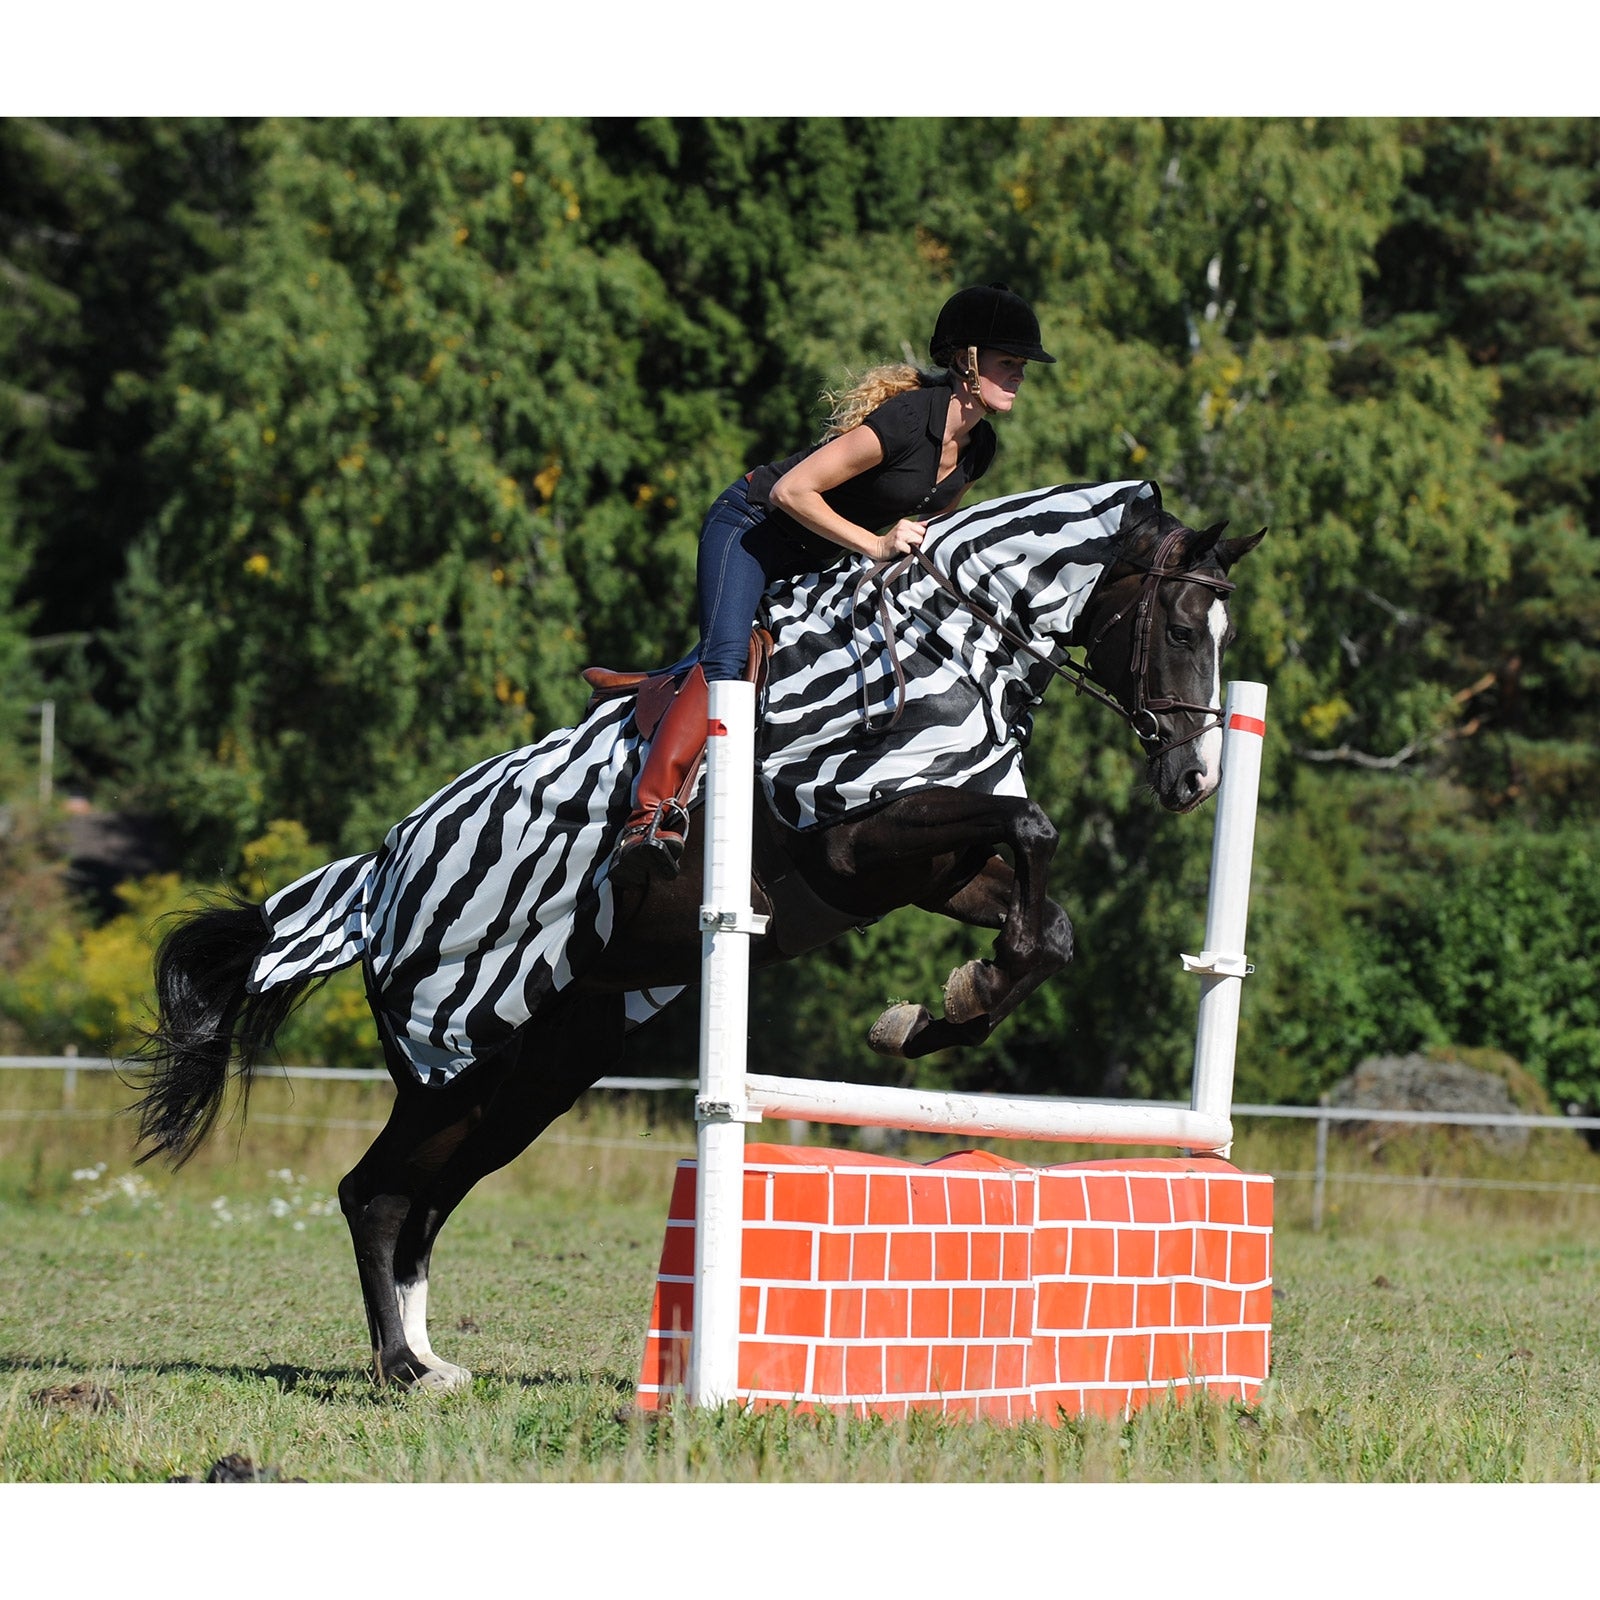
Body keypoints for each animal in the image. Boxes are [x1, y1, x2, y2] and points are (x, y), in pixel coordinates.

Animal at [131, 478, 1263, 1390]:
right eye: (1177, 628)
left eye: (1222, 639)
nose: (1194, 778)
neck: (946, 649)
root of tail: (377, 878)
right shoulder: (855, 840)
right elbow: (1036, 829)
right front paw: (944, 1009)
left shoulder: (929, 869)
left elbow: (1047, 923)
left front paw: (938, 1014)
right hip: (452, 1060)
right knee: (374, 1192)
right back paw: (403, 1369)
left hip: (538, 1070)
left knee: (424, 1198)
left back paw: (428, 1359)